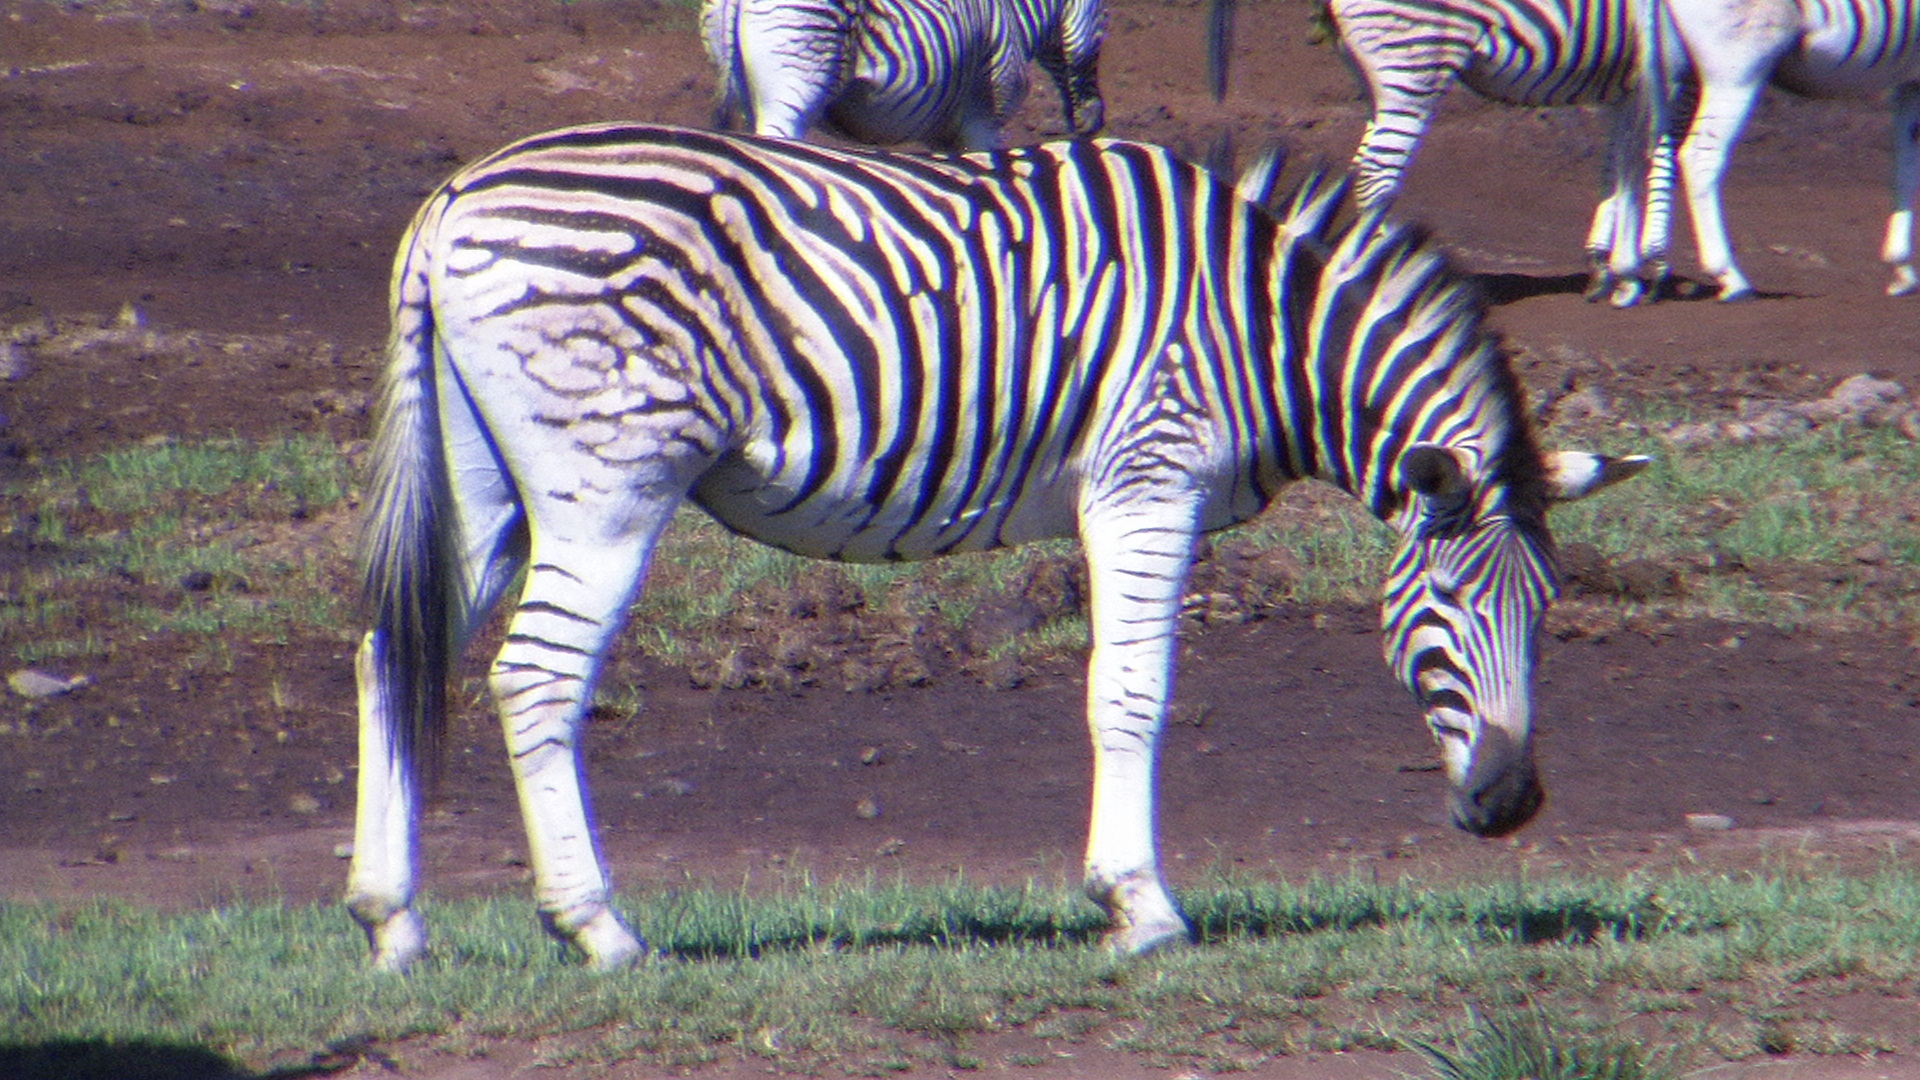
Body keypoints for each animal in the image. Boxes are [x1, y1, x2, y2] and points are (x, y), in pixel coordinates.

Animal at [345, 122, 1646, 971]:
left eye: (1547, 607)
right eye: (1451, 605)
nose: (1512, 807)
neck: (1265, 325)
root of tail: (456, 195)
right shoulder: (1147, 476)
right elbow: (1132, 691)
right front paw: (1140, 908)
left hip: (484, 478)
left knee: (388, 656)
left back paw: (392, 921)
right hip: (607, 485)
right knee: (534, 678)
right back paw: (600, 929)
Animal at [1209, 0, 1681, 306]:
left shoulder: (1631, 76)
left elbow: (1621, 158)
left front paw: (1609, 265)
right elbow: (1663, 153)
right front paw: (1642, 269)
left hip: (1374, 74)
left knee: (1365, 165)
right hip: (1413, 59)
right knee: (1376, 173)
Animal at [1642, 0, 1920, 300]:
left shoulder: (1911, 85)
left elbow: (1905, 169)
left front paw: (1901, 269)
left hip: (1680, 67)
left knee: (1661, 147)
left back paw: (1654, 264)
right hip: (1738, 67)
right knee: (1700, 156)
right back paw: (1729, 276)